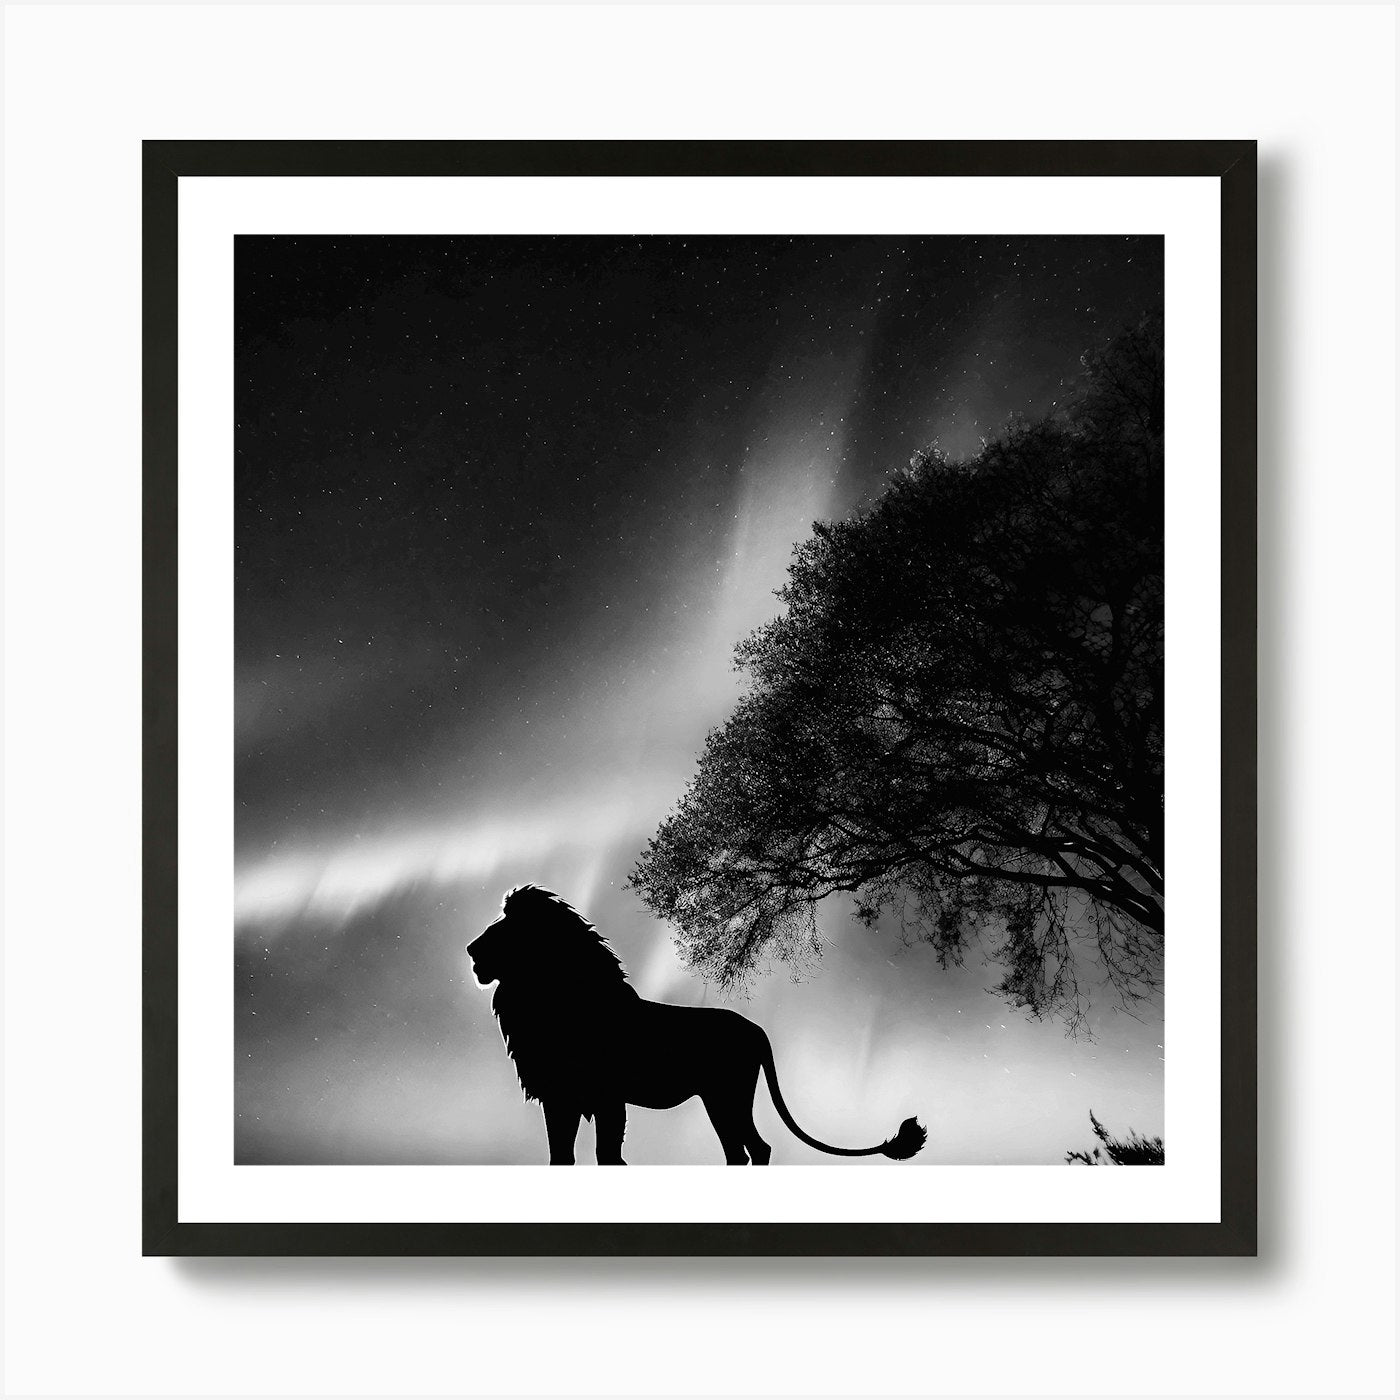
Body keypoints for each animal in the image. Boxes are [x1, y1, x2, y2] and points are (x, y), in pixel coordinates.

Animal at [467, 884, 927, 1165]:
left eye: (513, 926)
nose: (472, 949)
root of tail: (756, 1030)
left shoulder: (607, 1099)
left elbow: (608, 1156)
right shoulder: (559, 1099)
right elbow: (560, 1157)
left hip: (727, 1096)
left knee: (753, 1148)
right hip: (720, 1100)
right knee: (745, 1150)